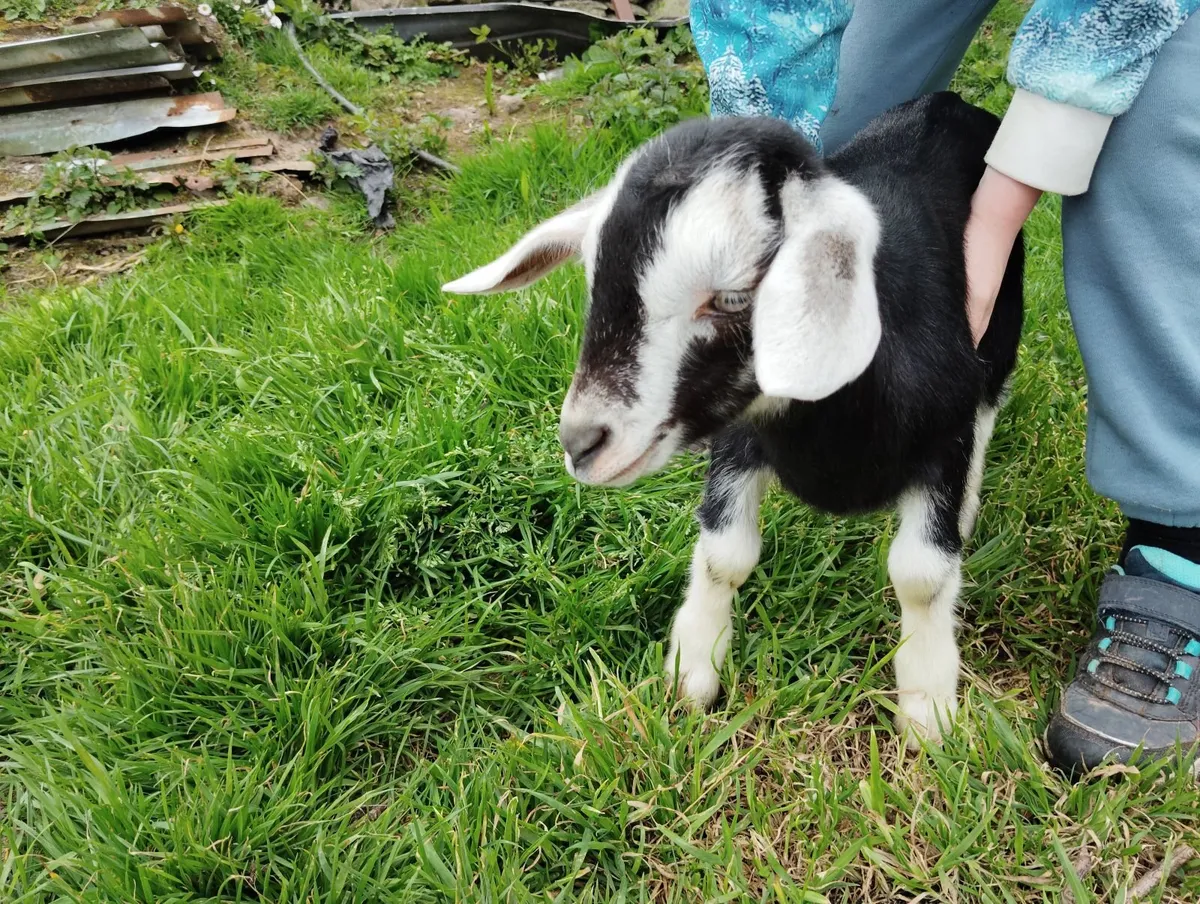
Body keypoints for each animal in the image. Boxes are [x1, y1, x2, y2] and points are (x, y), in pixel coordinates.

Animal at [443, 92, 1024, 745]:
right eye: (593, 279)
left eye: (731, 298)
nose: (582, 440)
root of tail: (948, 101)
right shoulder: (739, 431)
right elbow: (725, 555)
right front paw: (692, 669)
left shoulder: (944, 427)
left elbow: (921, 575)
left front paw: (927, 707)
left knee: (989, 410)